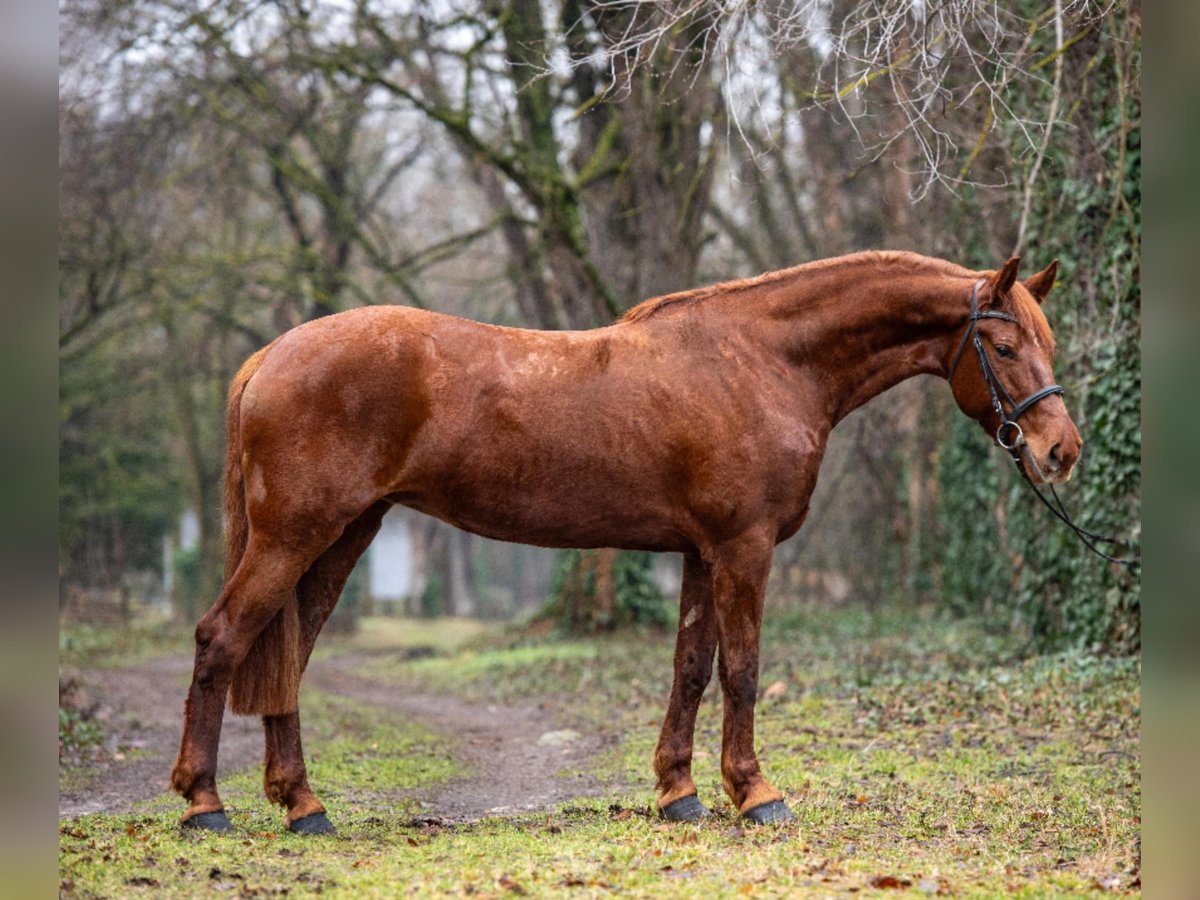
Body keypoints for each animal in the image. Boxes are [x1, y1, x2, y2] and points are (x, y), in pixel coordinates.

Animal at [171, 250, 1081, 833]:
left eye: (1048, 342)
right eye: (1002, 346)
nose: (1061, 452)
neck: (763, 360)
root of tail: (270, 356)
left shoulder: (701, 552)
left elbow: (691, 668)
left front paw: (680, 793)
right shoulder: (744, 549)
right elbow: (743, 671)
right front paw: (756, 794)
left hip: (341, 537)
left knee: (287, 657)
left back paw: (303, 806)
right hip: (297, 535)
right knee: (223, 638)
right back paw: (205, 804)